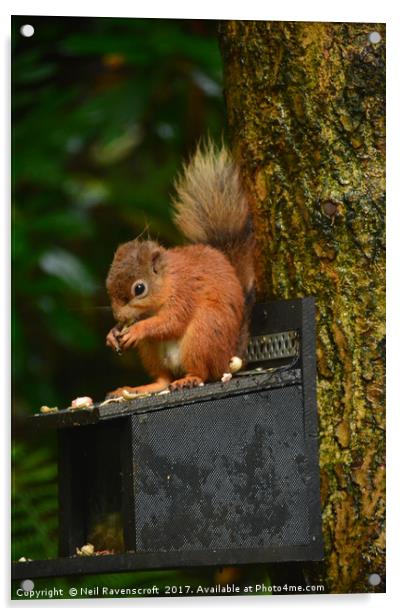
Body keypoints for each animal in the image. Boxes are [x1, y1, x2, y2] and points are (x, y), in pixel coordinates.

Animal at [104, 142, 254, 398]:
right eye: (108, 287)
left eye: (139, 289)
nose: (119, 317)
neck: (168, 281)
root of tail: (229, 356)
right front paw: (113, 333)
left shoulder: (185, 292)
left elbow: (172, 321)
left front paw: (137, 329)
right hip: (151, 351)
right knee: (163, 378)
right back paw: (140, 388)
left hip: (203, 334)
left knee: (202, 372)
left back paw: (189, 379)